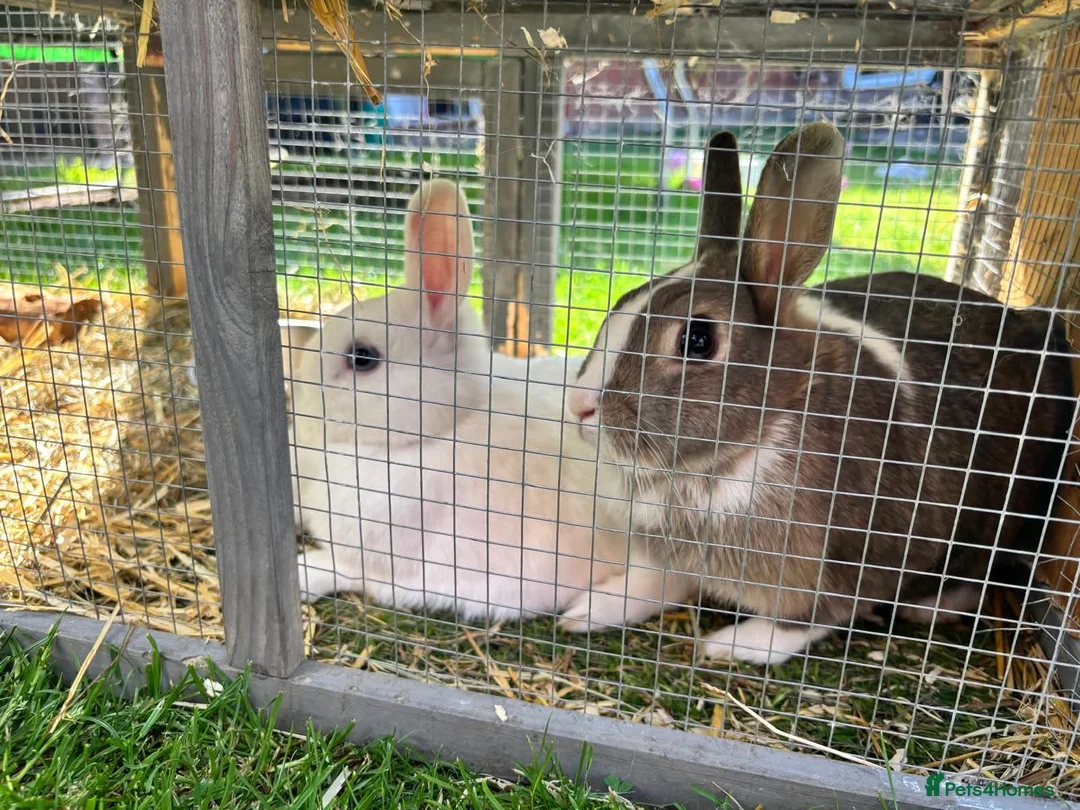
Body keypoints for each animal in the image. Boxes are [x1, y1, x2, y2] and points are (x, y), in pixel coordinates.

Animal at [281, 178, 645, 622]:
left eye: (362, 357)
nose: (302, 412)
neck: (444, 428)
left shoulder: (389, 561)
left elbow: (342, 569)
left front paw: (301, 574)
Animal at [562, 123, 1075, 664]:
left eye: (697, 340)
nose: (580, 407)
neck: (746, 443)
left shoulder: (851, 558)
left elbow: (809, 618)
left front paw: (733, 644)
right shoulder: (675, 558)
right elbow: (656, 583)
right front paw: (590, 610)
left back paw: (930, 608)